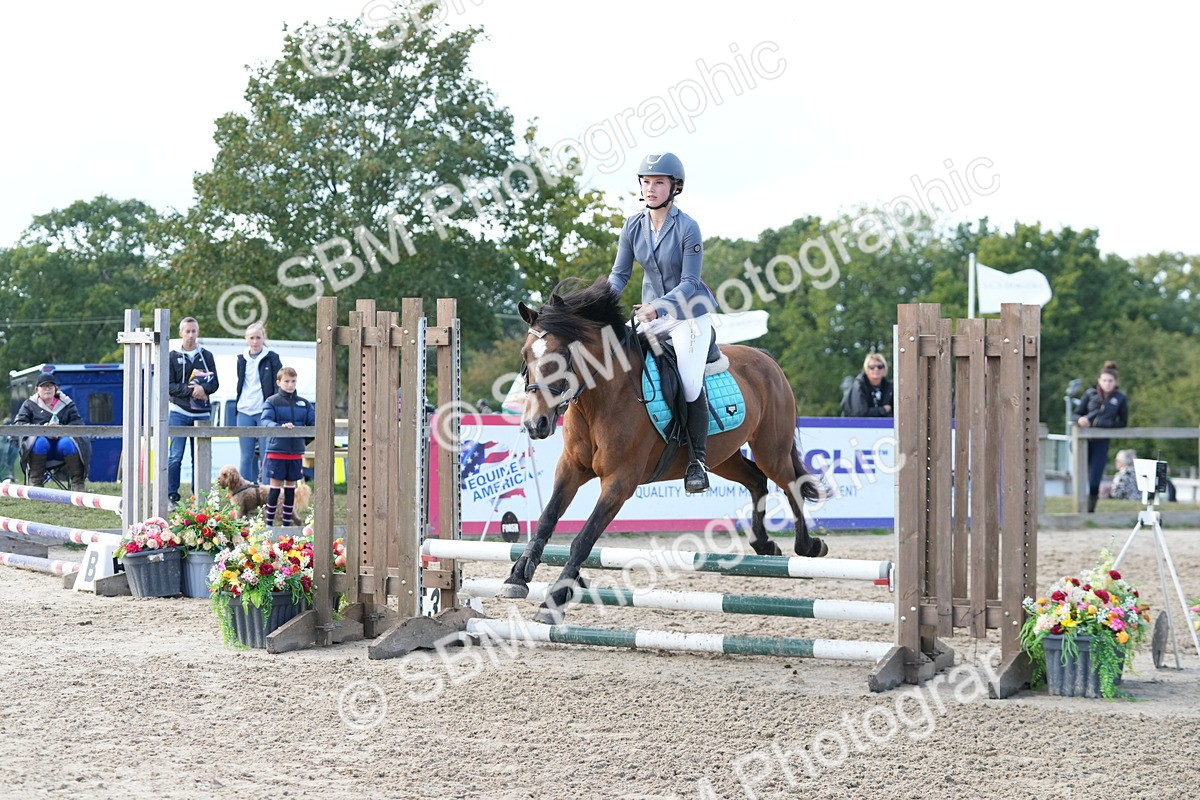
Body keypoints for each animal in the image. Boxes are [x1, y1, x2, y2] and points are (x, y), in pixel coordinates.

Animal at [499, 277, 826, 623]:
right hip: (723, 457)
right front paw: (517, 576)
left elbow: (584, 539)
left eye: (561, 356)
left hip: (770, 450)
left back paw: (807, 546)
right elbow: (547, 519)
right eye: (525, 355)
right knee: (756, 481)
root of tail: (765, 358)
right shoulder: (571, 468)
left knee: (790, 484)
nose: (535, 424)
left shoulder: (620, 481)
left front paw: (554, 600)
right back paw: (764, 545)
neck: (601, 399)